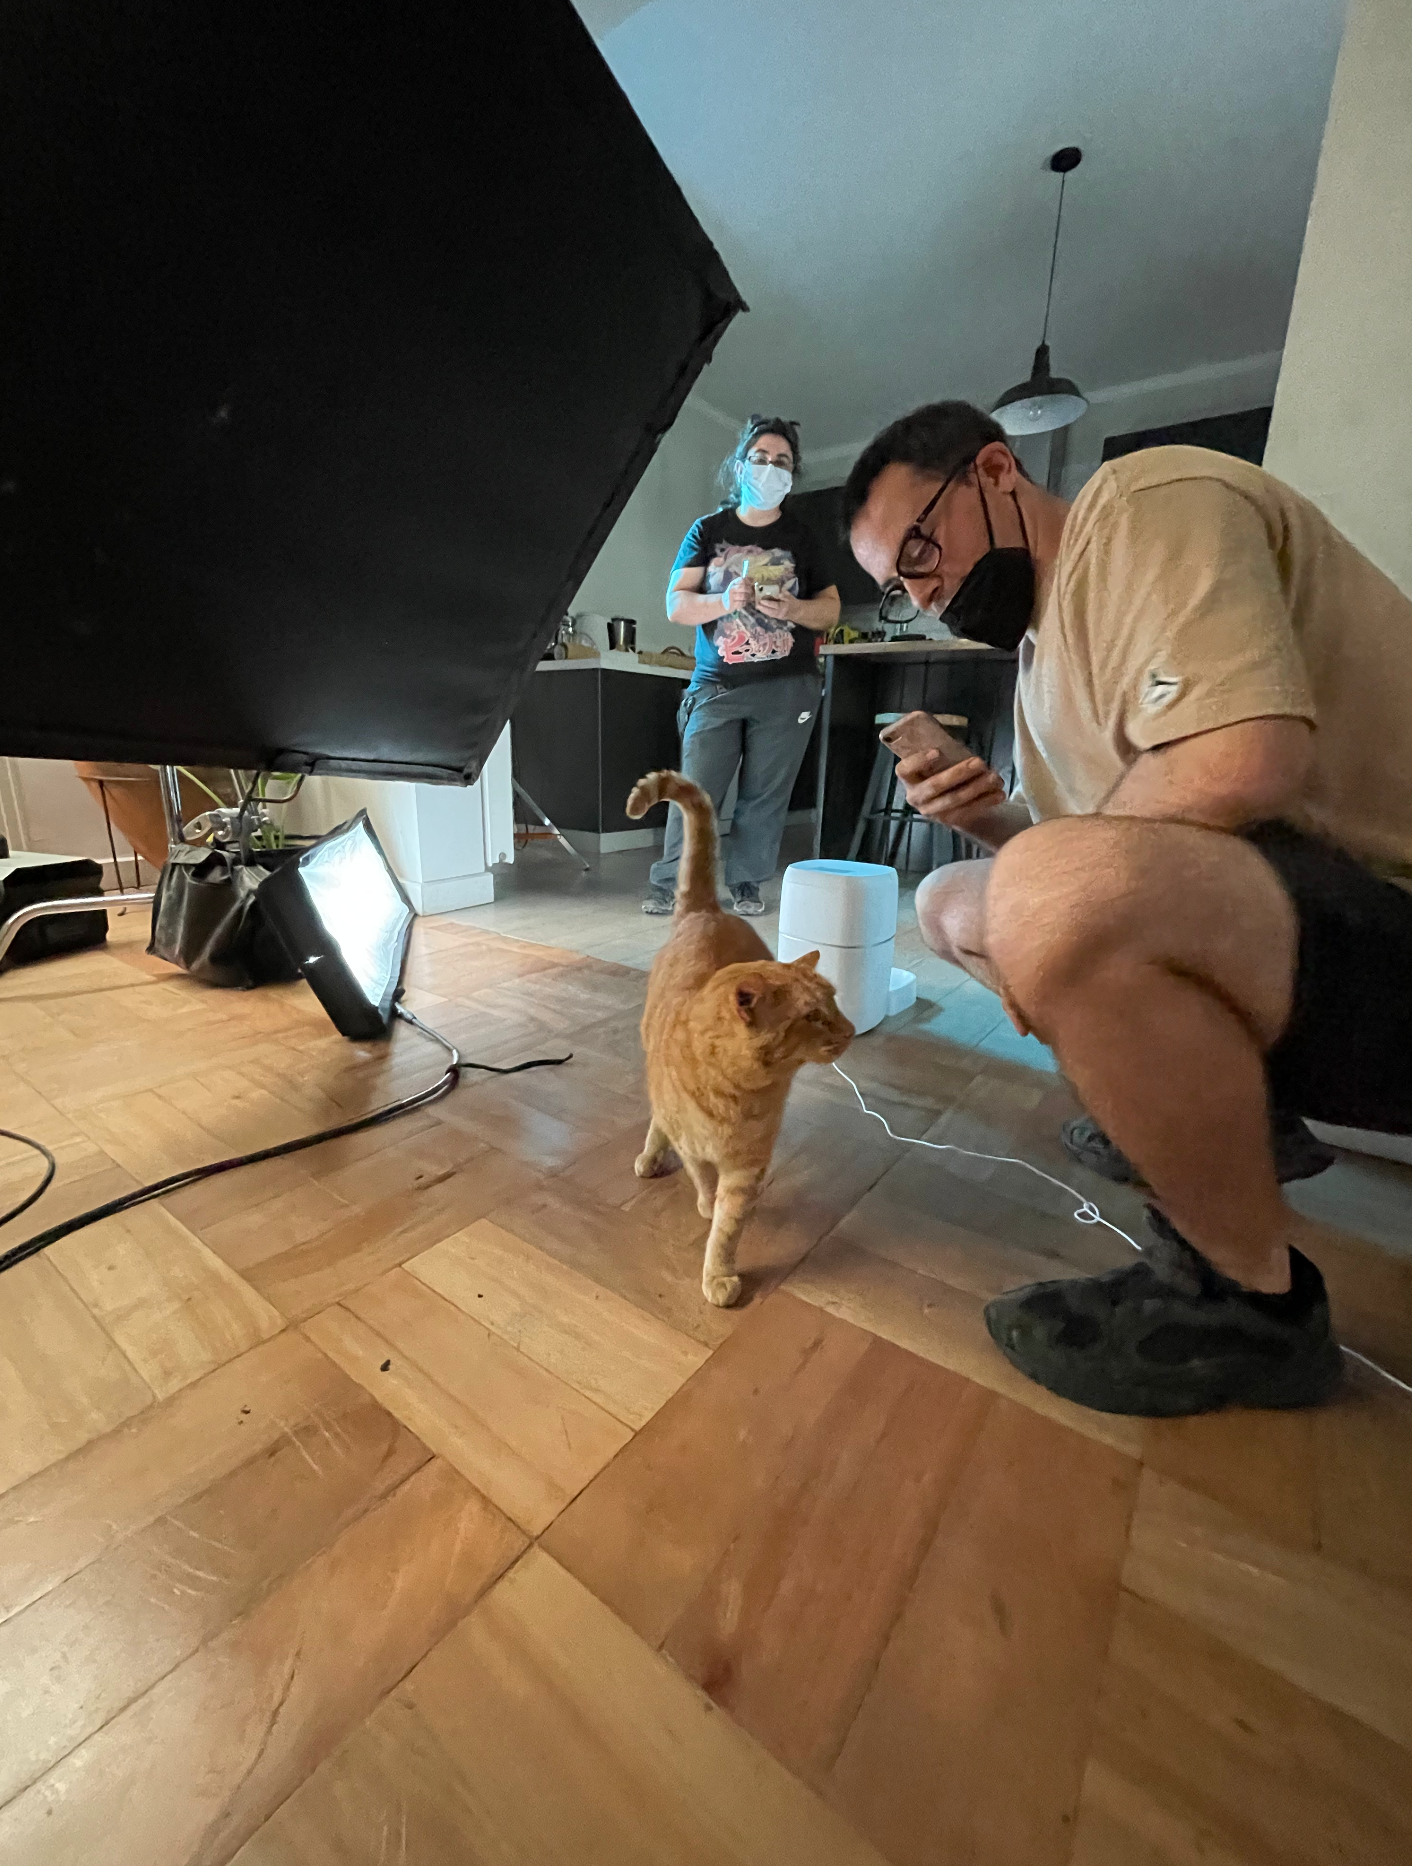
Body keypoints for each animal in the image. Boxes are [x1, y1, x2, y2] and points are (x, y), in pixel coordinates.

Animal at [626, 771, 854, 1306]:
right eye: (813, 1015)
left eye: (833, 1002)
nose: (850, 1029)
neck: (741, 1093)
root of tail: (707, 910)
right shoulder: (697, 1150)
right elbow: (705, 1183)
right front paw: (706, 1207)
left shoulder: (748, 1167)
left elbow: (729, 1227)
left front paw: (719, 1270)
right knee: (658, 1117)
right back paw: (651, 1156)